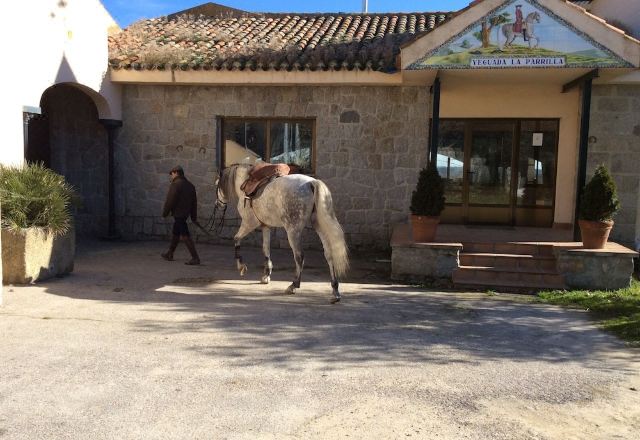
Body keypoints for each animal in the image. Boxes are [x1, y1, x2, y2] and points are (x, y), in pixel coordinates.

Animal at [216, 163, 348, 304]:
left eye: (217, 185)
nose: (218, 204)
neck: (244, 184)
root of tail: (312, 182)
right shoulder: (265, 226)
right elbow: (266, 249)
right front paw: (266, 275)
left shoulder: (248, 223)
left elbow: (236, 239)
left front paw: (241, 267)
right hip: (319, 226)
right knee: (328, 254)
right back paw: (335, 291)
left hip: (293, 230)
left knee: (299, 256)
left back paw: (293, 285)